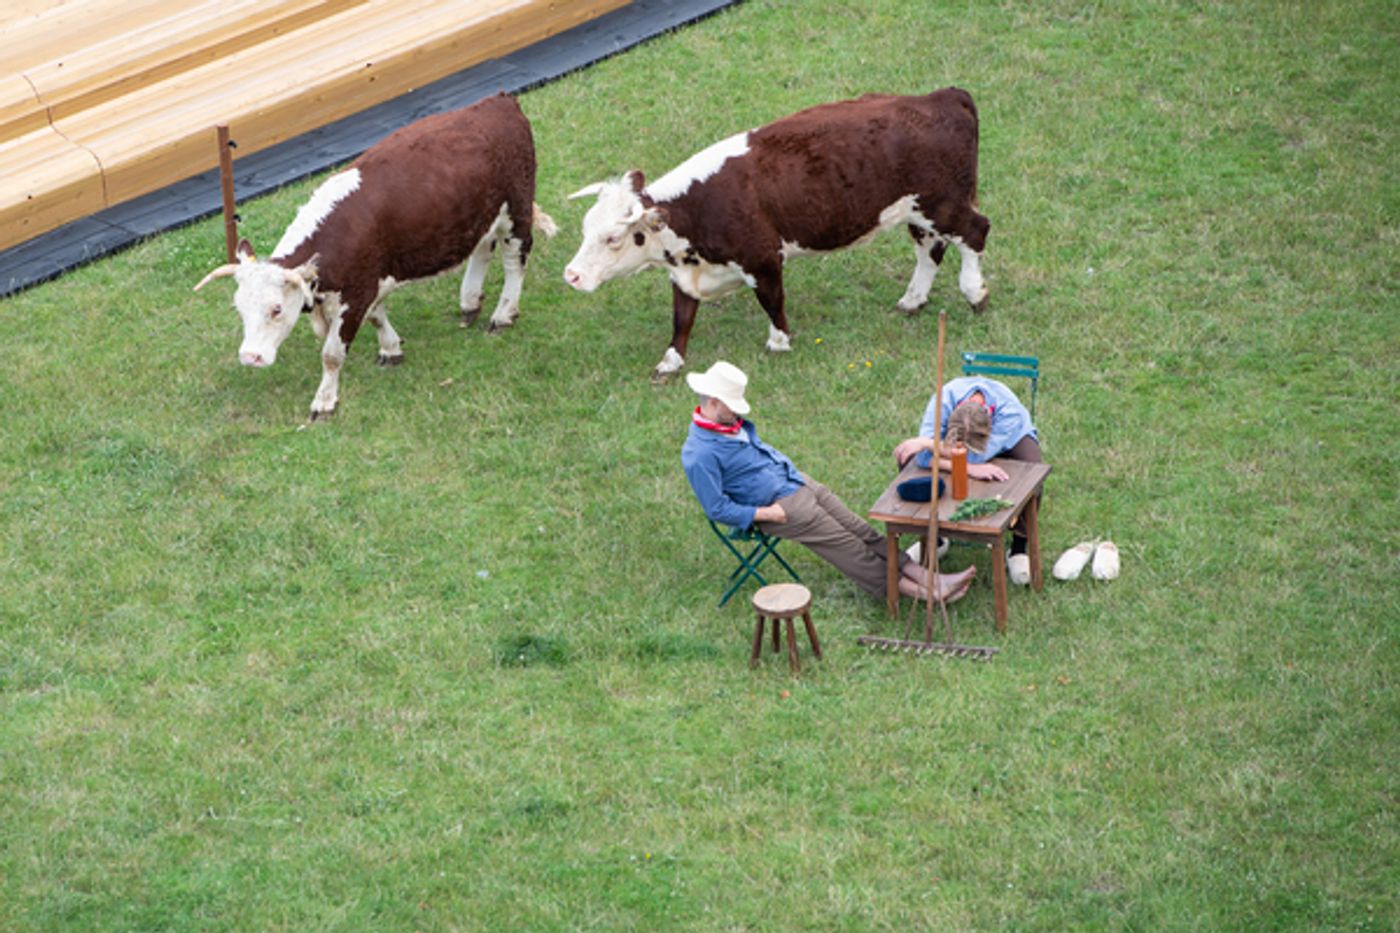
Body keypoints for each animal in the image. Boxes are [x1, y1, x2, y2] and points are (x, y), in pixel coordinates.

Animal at [195, 93, 557, 419]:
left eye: (276, 309)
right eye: (239, 309)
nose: (250, 357)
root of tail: (498, 101)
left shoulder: (356, 293)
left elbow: (332, 354)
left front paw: (324, 402)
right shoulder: (368, 281)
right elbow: (377, 316)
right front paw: (391, 348)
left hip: (517, 209)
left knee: (515, 260)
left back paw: (503, 314)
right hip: (481, 214)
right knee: (482, 248)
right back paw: (469, 301)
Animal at [562, 87, 990, 381]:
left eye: (613, 238)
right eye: (585, 229)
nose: (572, 275)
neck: (693, 208)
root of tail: (943, 97)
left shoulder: (762, 258)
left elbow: (771, 301)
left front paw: (779, 342)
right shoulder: (685, 272)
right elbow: (681, 319)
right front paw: (669, 362)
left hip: (943, 204)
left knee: (975, 232)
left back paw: (975, 292)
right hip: (919, 212)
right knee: (930, 249)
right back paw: (913, 299)